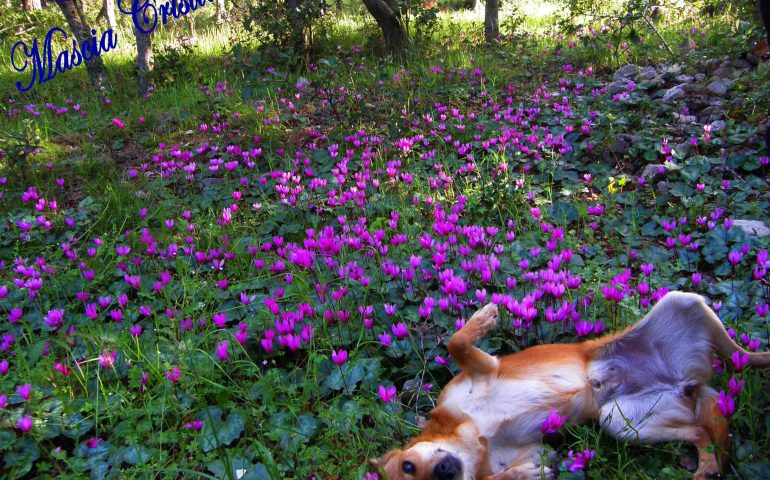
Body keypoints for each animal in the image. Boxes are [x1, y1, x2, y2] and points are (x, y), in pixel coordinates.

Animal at [368, 290, 764, 478]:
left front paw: (482, 317)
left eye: (408, 466)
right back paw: (707, 467)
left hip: (684, 303)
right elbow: (510, 474)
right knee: (700, 432)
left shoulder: (482, 370)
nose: (445, 472)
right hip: (621, 421)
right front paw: (520, 475)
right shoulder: (536, 453)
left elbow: (455, 342)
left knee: (754, 358)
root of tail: (689, 381)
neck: (473, 434)